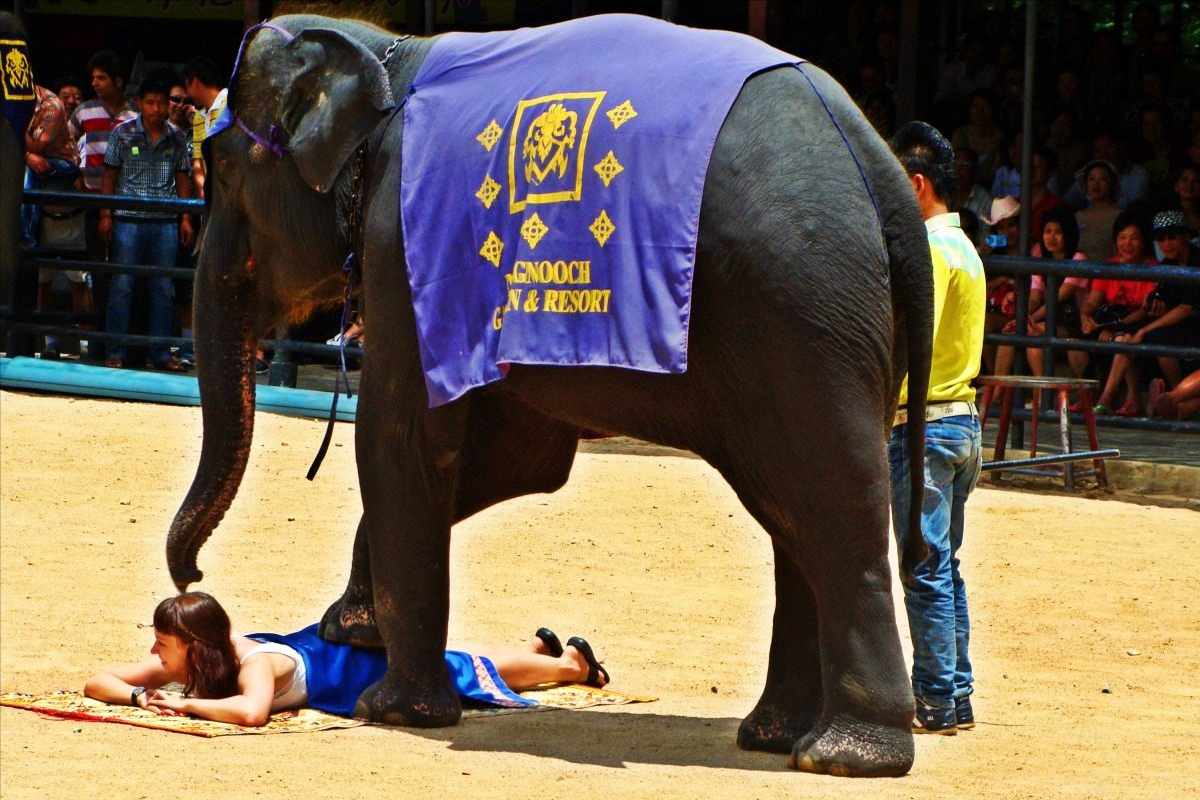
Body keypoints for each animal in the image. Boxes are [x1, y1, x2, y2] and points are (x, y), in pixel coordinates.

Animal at [166, 10, 936, 777]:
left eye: (224, 168)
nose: (191, 580)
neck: (385, 54)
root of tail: (879, 167)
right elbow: (521, 459)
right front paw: (350, 632)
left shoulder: (401, 242)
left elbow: (400, 436)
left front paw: (391, 709)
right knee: (790, 509)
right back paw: (775, 737)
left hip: (801, 310)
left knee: (830, 501)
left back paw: (846, 756)